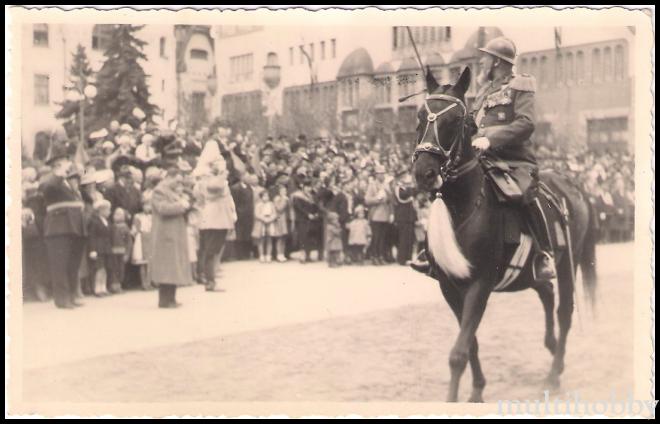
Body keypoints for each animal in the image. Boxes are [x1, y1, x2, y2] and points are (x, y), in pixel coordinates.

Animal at [410, 65, 596, 400]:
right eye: (420, 116)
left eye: (456, 120)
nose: (424, 173)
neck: (464, 206)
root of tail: (573, 185)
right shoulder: (449, 287)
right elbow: (470, 343)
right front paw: (477, 391)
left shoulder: (480, 285)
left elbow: (459, 352)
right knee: (545, 292)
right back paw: (552, 348)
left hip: (568, 263)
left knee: (564, 310)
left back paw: (554, 374)